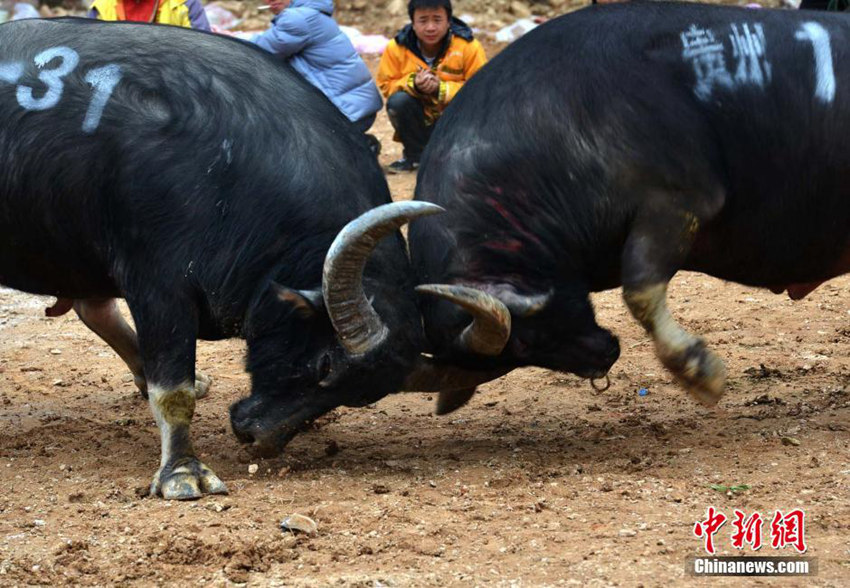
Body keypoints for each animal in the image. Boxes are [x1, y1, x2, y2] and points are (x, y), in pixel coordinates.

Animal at [0, 17, 450, 496]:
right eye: (326, 363)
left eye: (363, 395)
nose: (259, 438)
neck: (227, 170)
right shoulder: (157, 286)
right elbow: (172, 390)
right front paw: (182, 471)